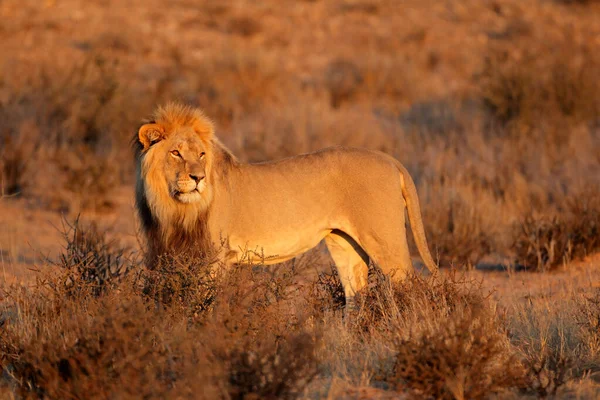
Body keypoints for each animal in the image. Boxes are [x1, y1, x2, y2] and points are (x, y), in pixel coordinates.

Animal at [135, 102, 436, 306]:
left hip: (385, 240)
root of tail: (390, 160)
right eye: (175, 153)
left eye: (201, 154)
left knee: (412, 287)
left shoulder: (214, 257)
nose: (198, 178)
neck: (173, 206)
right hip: (343, 243)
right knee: (355, 298)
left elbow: (199, 304)